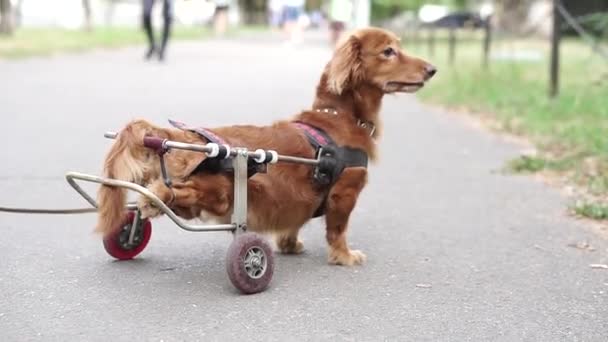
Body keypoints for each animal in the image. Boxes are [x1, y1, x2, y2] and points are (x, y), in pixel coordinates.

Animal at [96, 28, 436, 266]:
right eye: (389, 51)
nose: (432, 69)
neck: (337, 118)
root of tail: (180, 136)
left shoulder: (298, 199)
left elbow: (294, 223)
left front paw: (289, 245)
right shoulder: (345, 192)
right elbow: (337, 230)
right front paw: (345, 256)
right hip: (222, 189)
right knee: (174, 189)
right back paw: (153, 199)